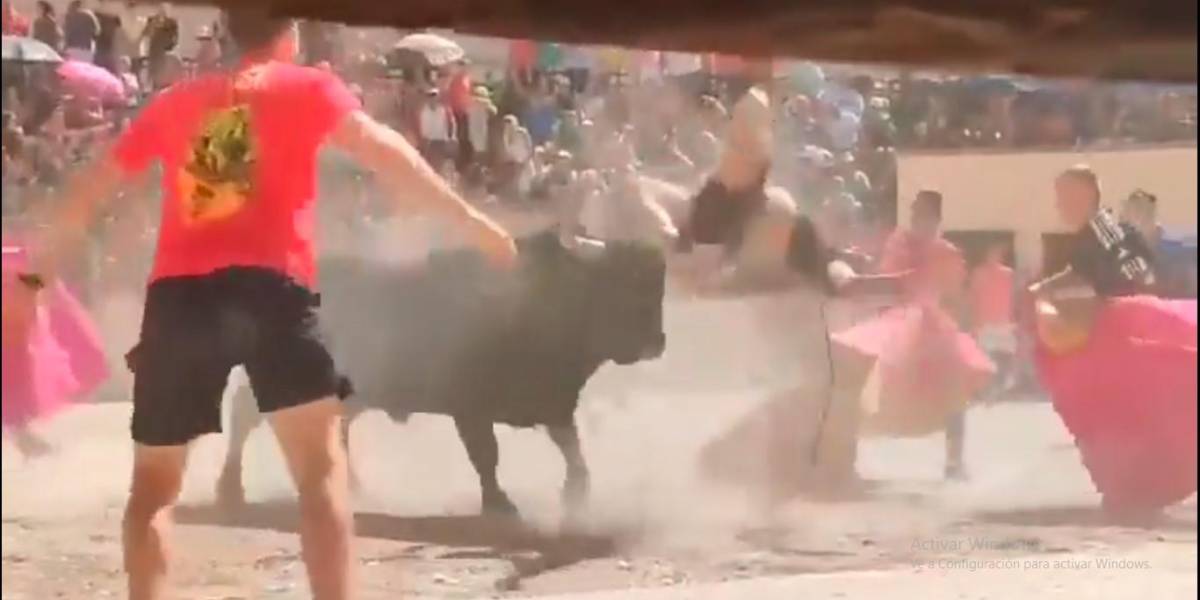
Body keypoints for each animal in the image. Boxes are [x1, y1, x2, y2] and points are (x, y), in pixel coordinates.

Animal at [216, 231, 667, 518]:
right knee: (243, 417)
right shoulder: (470, 410)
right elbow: (487, 456)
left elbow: (572, 449)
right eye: (619, 284)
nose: (657, 343)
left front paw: (577, 495)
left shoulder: (552, 404)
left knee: (334, 431)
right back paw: (229, 490)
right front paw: (500, 503)